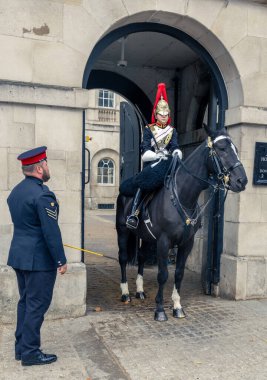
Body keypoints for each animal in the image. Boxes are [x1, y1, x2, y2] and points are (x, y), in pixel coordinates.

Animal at [116, 126, 248, 322]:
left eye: (236, 150)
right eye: (221, 149)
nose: (242, 181)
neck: (183, 197)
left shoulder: (187, 243)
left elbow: (179, 273)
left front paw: (177, 306)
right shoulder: (164, 242)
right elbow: (163, 275)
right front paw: (160, 310)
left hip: (146, 237)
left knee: (141, 257)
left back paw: (139, 291)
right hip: (123, 231)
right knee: (123, 258)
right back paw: (125, 293)